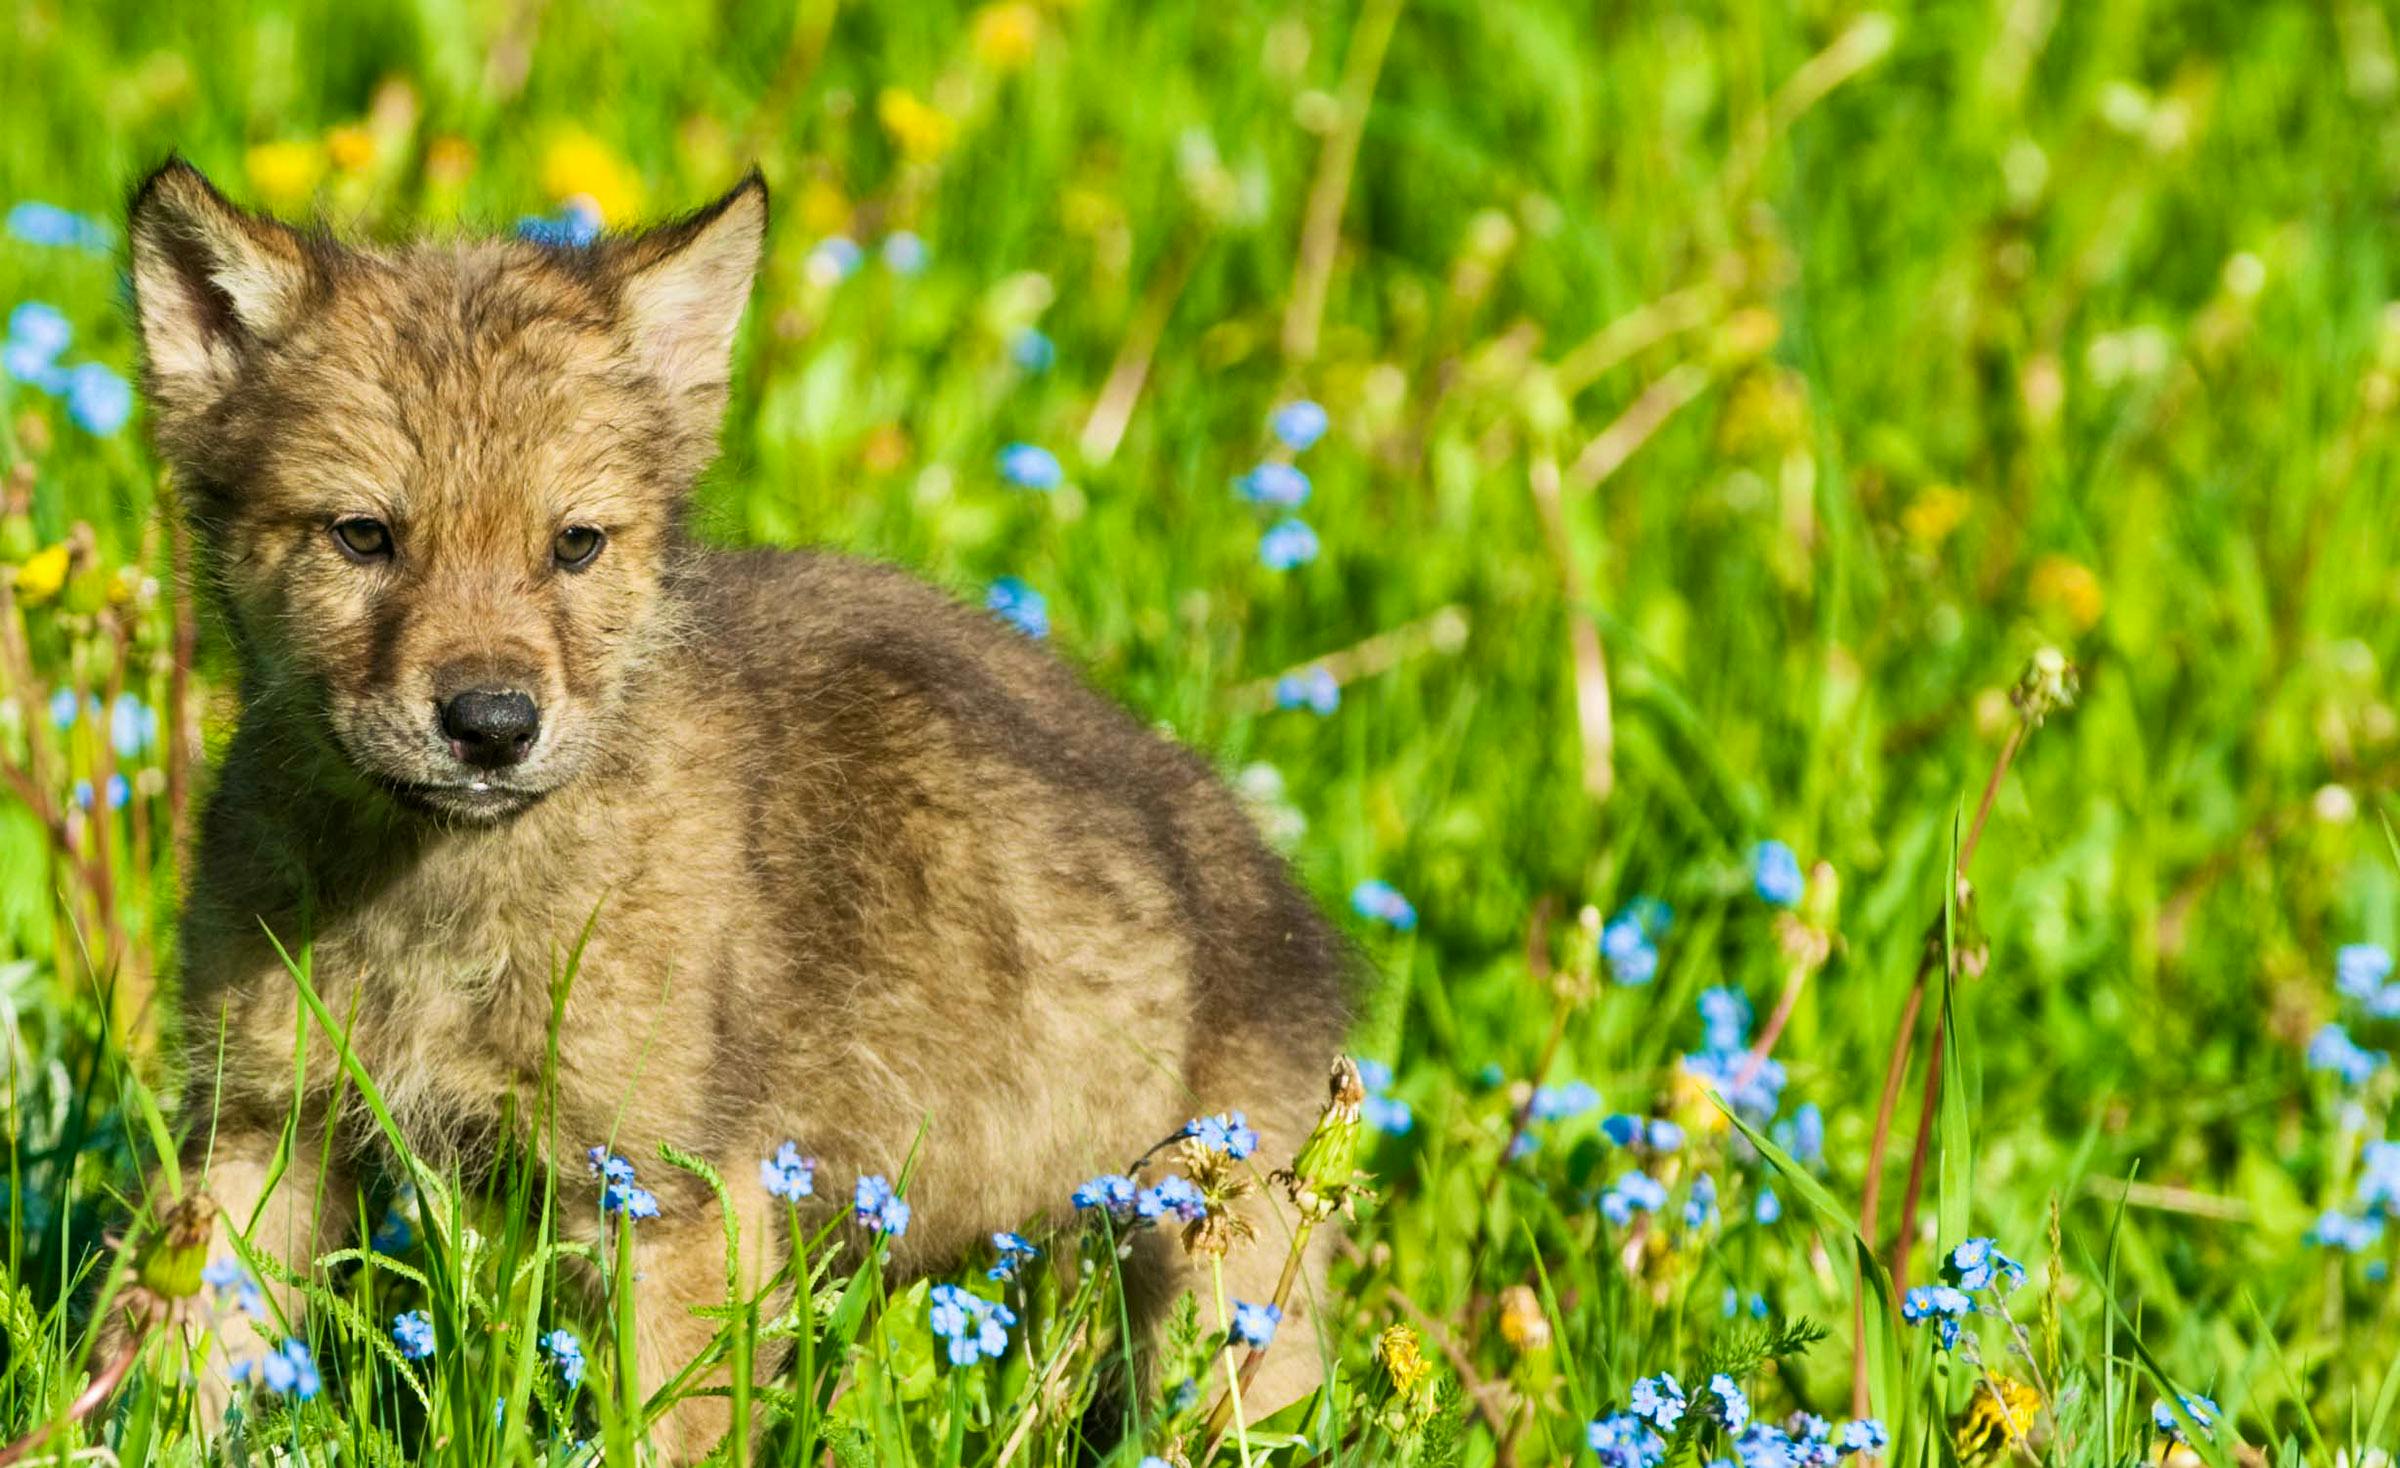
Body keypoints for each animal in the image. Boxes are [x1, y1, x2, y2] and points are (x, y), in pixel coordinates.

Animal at [125, 158, 1351, 1458]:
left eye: (574, 544)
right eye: (363, 535)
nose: (493, 725)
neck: (437, 898)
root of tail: (1292, 905)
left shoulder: (669, 1196)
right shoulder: (254, 1126)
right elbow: (166, 1360)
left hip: (1217, 1285)